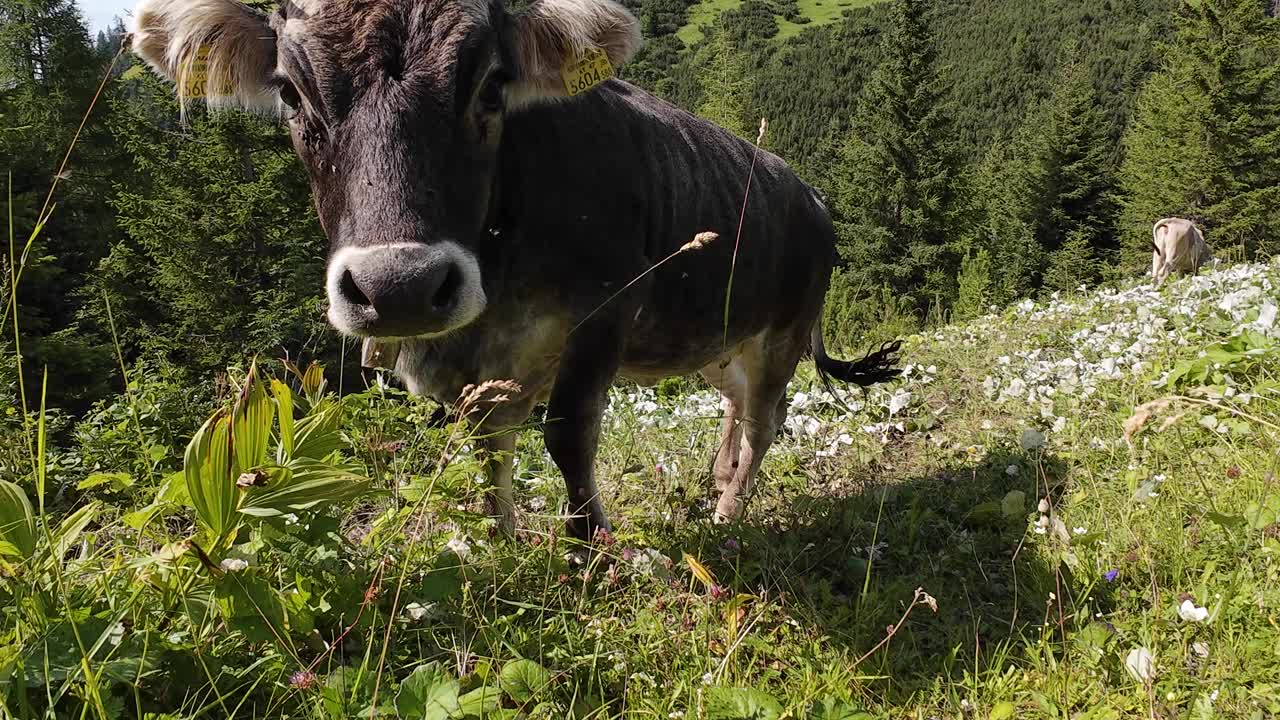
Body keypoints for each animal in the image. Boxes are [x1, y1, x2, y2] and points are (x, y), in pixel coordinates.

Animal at [129, 0, 901, 538]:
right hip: (718, 336)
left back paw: (729, 510)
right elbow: (487, 449)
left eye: (492, 85)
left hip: (784, 328)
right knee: (736, 405)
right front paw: (501, 542)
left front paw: (591, 549)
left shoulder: (606, 309)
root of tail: (810, 193)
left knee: (766, 419)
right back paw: (719, 479)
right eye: (290, 92)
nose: (400, 287)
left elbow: (566, 434)